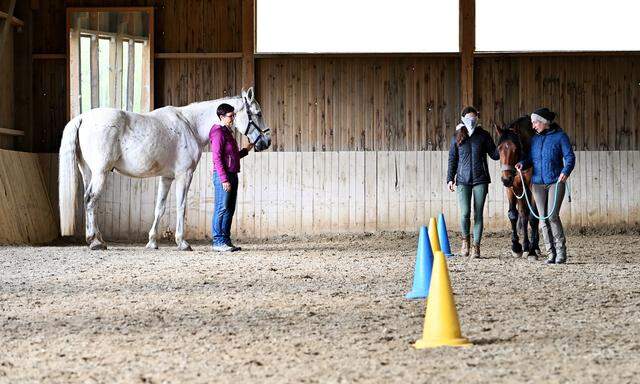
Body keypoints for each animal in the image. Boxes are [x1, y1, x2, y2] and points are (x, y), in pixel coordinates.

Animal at [57, 86, 270, 252]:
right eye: (258, 113)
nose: (266, 141)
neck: (190, 125)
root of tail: (82, 118)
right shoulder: (184, 175)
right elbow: (181, 206)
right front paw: (182, 242)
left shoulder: (166, 178)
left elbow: (159, 207)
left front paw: (152, 242)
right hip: (100, 173)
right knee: (91, 200)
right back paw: (95, 242)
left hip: (87, 172)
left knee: (87, 200)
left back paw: (97, 238)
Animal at [496, 115, 540, 256]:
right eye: (499, 148)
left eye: (515, 148)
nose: (505, 179)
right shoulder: (512, 187)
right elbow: (514, 214)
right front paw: (516, 246)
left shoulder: (532, 187)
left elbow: (533, 217)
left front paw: (532, 249)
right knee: (523, 214)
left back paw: (535, 246)